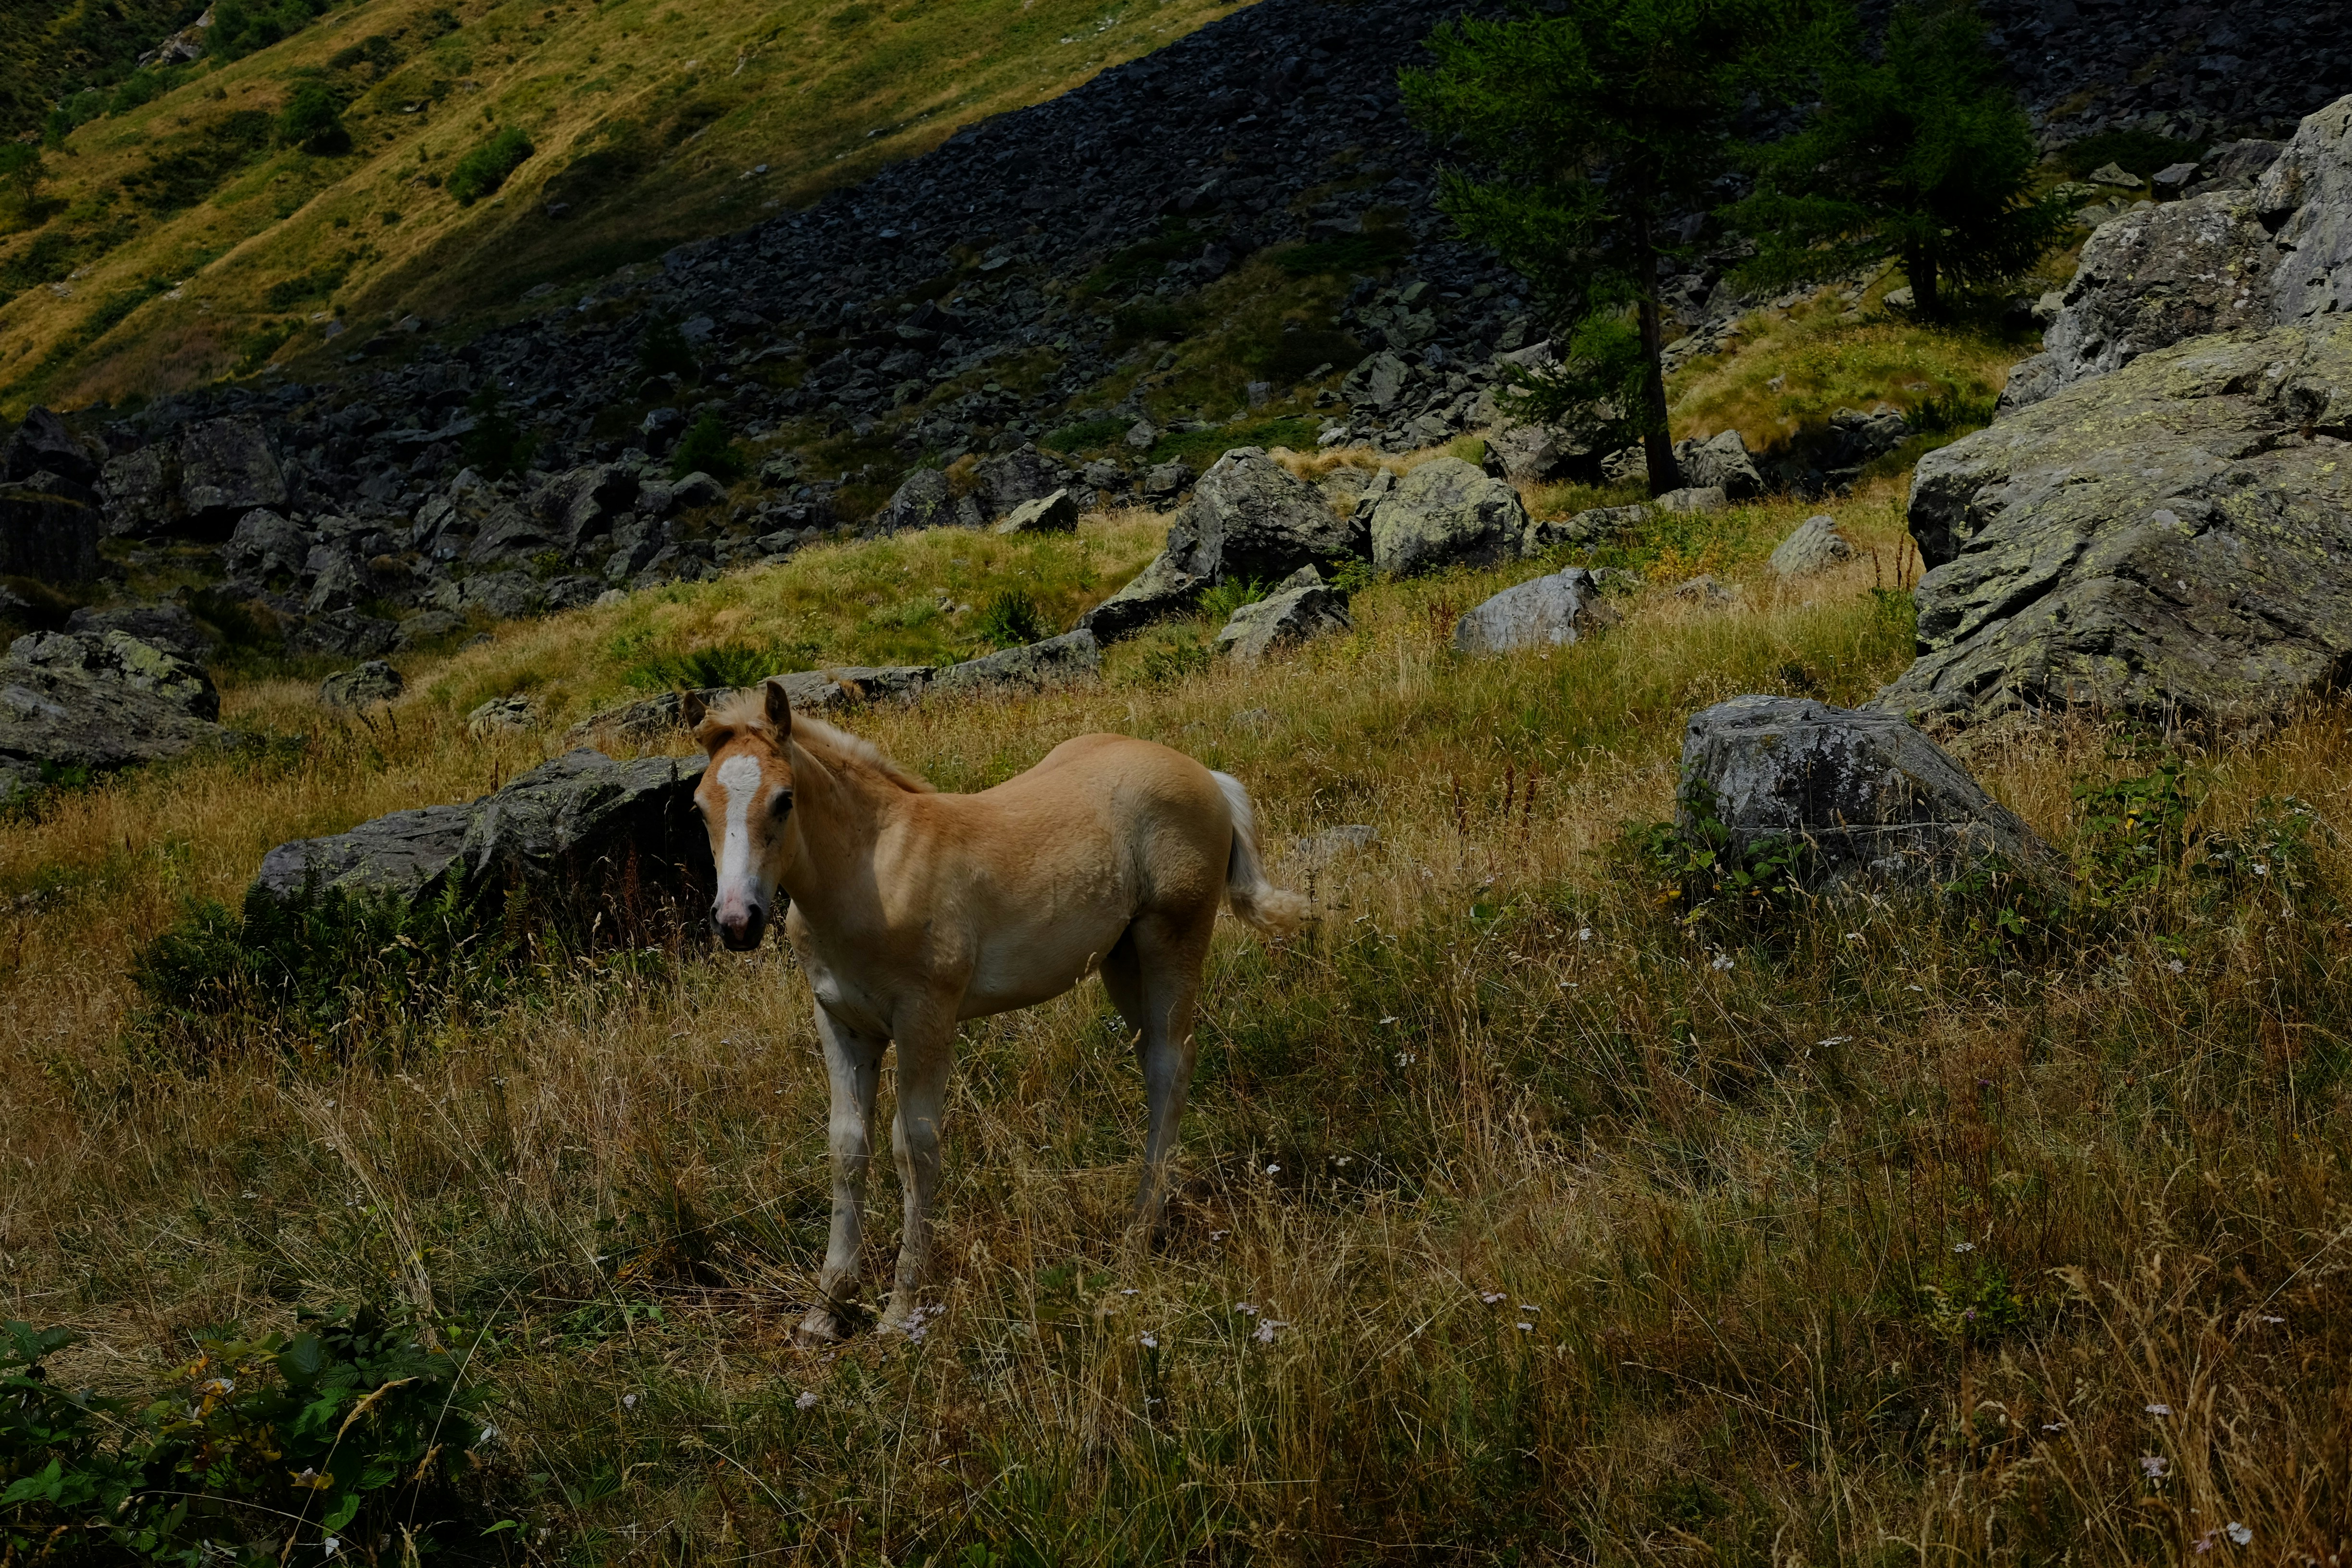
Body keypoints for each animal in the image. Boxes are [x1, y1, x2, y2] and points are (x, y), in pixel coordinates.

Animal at [682, 679, 1308, 1343]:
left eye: (784, 800)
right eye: (699, 808)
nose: (737, 922)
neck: (870, 873)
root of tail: (1207, 775)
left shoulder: (926, 1017)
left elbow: (914, 1148)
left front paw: (902, 1310)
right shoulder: (842, 1022)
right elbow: (847, 1147)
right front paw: (826, 1309)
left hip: (1173, 938)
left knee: (1171, 1062)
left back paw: (1136, 1240)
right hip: (1122, 958)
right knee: (1155, 1061)